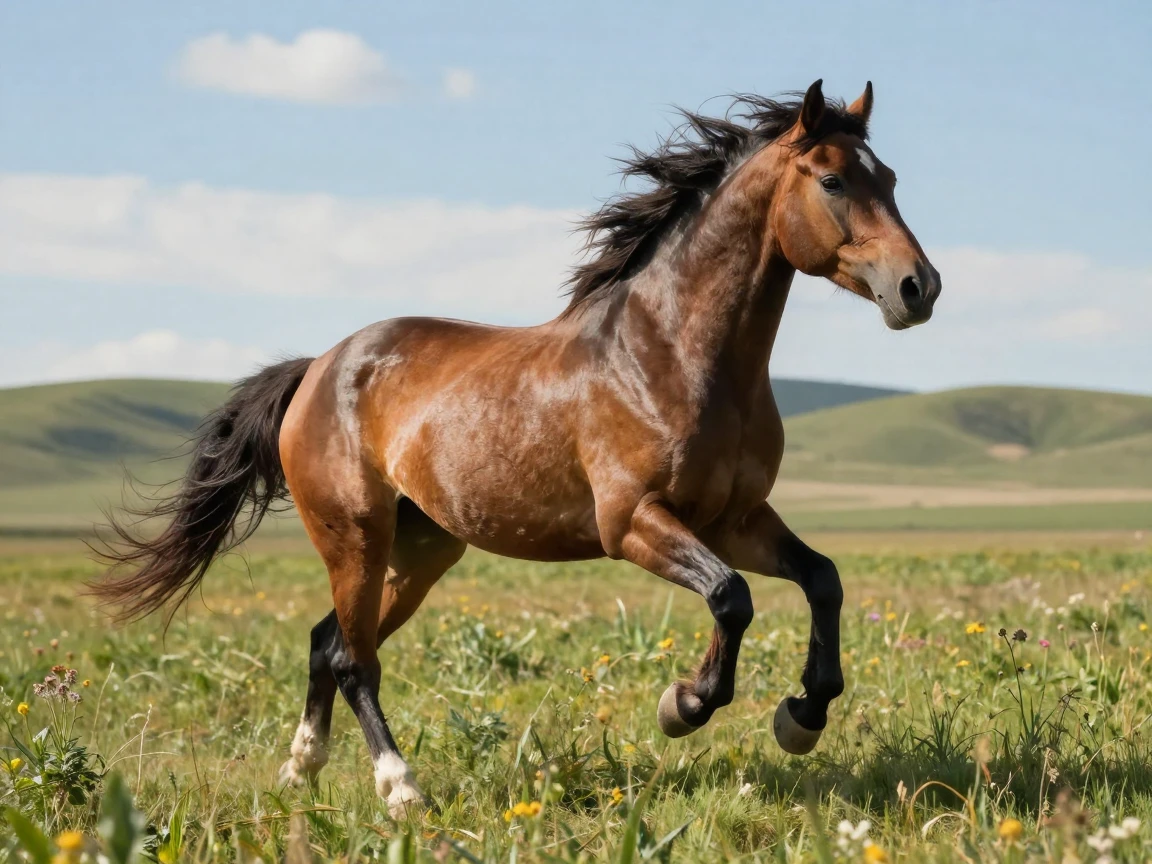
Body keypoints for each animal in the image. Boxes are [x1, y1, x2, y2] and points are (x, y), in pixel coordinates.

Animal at [90, 80, 940, 818]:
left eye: (892, 178)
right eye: (832, 180)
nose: (918, 288)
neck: (671, 354)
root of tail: (319, 369)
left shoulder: (734, 518)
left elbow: (821, 579)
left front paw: (802, 715)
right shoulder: (633, 523)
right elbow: (732, 598)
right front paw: (685, 704)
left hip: (421, 550)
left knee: (327, 640)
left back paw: (301, 771)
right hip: (354, 536)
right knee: (353, 658)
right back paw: (401, 790)